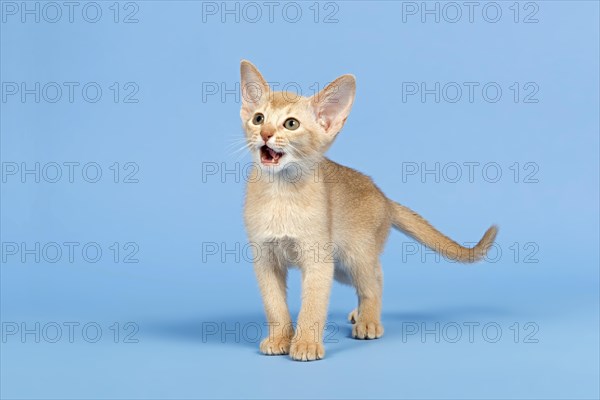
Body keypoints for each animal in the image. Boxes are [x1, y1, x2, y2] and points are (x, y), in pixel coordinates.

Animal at [239, 60, 496, 362]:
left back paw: (369, 321)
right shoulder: (265, 258)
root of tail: (384, 197)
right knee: (377, 274)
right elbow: (274, 304)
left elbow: (312, 305)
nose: (265, 134)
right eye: (258, 118)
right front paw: (280, 338)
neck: (280, 194)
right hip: (341, 265)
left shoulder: (318, 261)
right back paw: (360, 314)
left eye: (291, 124)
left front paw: (305, 344)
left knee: (373, 282)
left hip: (353, 255)